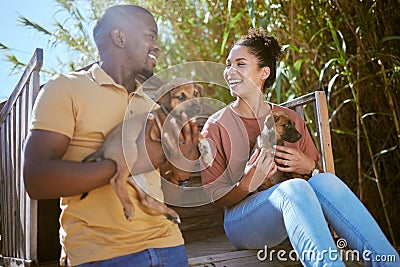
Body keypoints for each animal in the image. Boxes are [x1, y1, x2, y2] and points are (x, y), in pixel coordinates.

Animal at [81, 78, 212, 224]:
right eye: (181, 97)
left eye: (195, 93)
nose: (198, 109)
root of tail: (102, 148)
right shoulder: (169, 134)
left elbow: (202, 138)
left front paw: (208, 155)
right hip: (129, 152)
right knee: (117, 181)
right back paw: (129, 208)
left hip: (135, 175)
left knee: (145, 199)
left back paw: (172, 214)